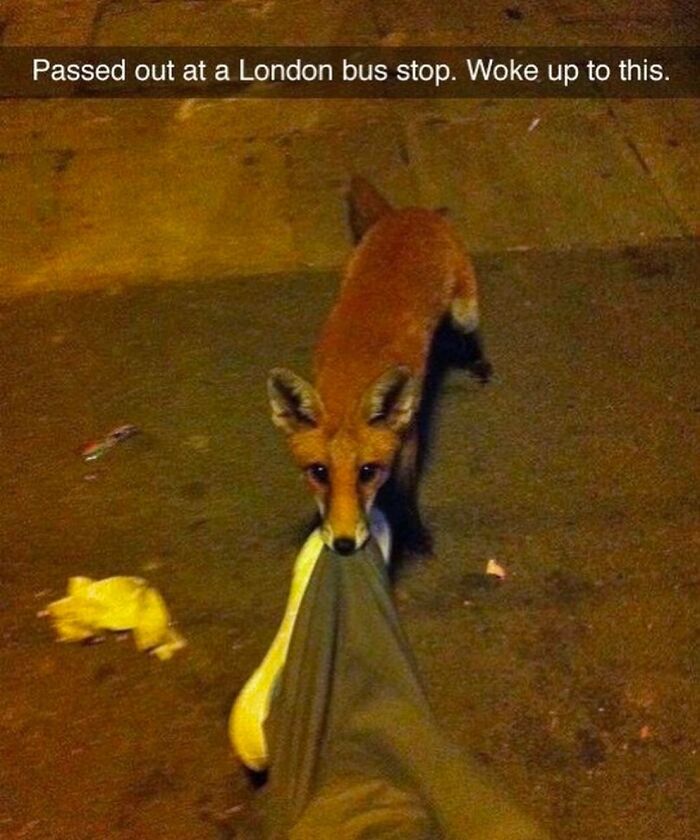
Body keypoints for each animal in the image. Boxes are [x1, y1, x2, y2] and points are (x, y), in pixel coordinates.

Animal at [267, 177, 489, 556]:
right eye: (319, 472)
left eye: (368, 471)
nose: (343, 544)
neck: (352, 374)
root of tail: (406, 213)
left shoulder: (408, 436)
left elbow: (404, 490)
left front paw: (414, 533)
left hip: (465, 311)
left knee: (467, 331)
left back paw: (476, 361)